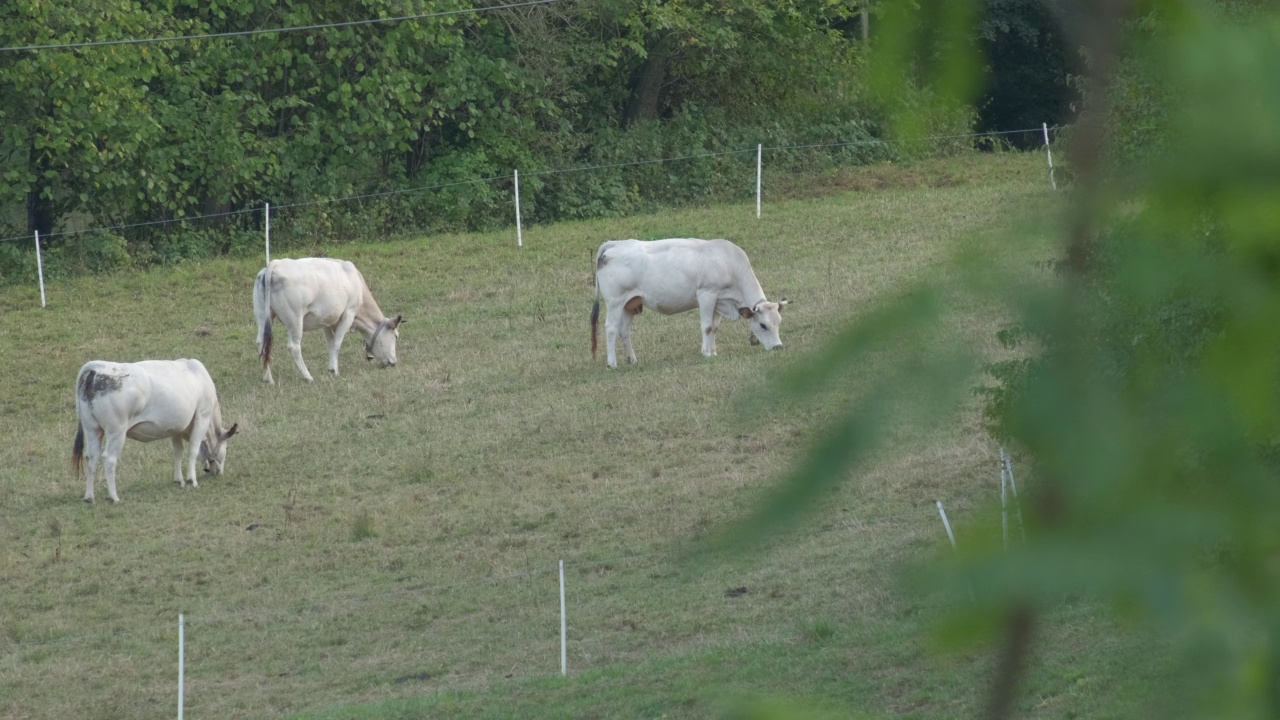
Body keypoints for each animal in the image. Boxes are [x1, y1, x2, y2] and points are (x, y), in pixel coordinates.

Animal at [72, 356, 239, 502]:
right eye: (227, 448)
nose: (218, 473)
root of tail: (97, 367)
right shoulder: (202, 416)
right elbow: (193, 450)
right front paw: (192, 480)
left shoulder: (176, 428)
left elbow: (178, 452)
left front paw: (178, 480)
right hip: (116, 431)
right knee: (109, 459)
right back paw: (114, 497)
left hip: (92, 429)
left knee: (92, 457)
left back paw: (89, 497)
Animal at [252, 256, 401, 384]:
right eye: (396, 336)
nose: (394, 362)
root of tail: (275, 264)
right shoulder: (348, 313)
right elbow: (336, 344)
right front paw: (335, 371)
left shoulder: (327, 321)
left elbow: (330, 344)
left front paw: (330, 368)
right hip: (295, 319)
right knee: (294, 347)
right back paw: (308, 377)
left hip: (263, 315)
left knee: (261, 342)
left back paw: (268, 378)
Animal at [591, 238, 788, 366]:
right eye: (763, 325)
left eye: (779, 323)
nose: (778, 347)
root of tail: (615, 243)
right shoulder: (707, 294)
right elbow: (707, 326)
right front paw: (706, 353)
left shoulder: (718, 301)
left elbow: (715, 327)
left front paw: (713, 351)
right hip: (615, 302)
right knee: (611, 329)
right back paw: (612, 363)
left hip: (629, 303)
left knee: (624, 331)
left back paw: (632, 360)